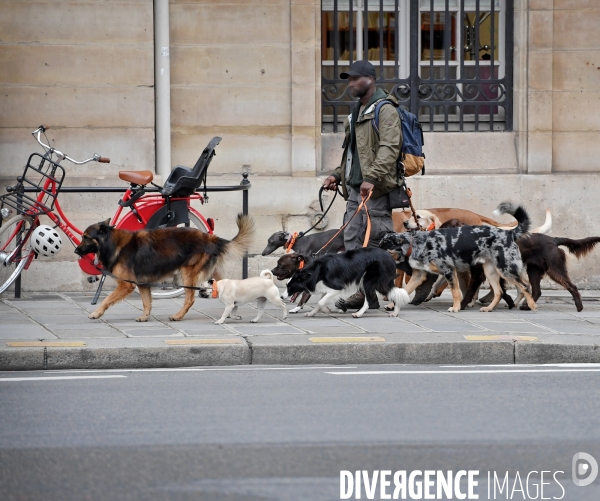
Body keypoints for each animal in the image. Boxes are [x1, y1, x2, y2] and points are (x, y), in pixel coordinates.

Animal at [74, 213, 253, 322]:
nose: (76, 251)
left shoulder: (126, 284)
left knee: (190, 299)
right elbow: (146, 302)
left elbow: (107, 299)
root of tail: (211, 238)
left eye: (86, 237)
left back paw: (178, 316)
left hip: (187, 273)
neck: (112, 242)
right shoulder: (142, 283)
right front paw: (145, 317)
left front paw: (96, 313)